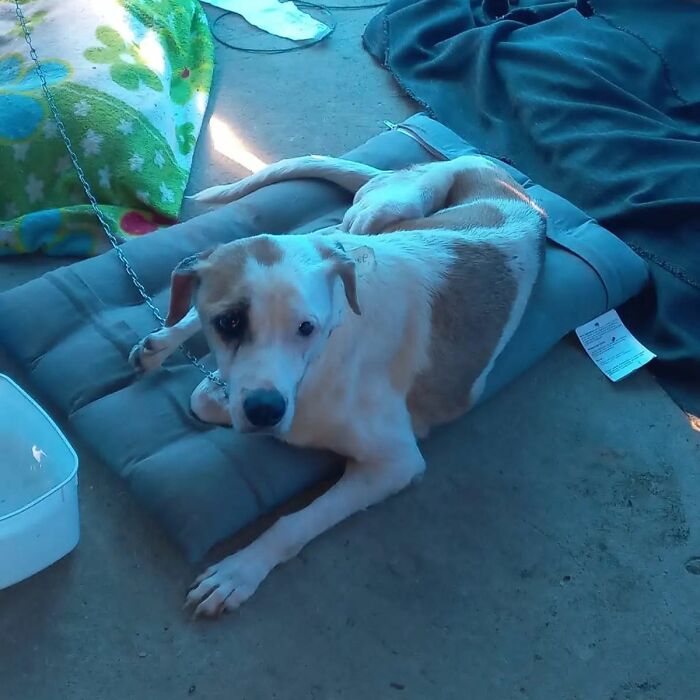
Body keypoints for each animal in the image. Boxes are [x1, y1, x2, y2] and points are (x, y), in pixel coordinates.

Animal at [130, 153, 548, 616]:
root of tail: (495, 171)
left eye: (305, 328)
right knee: (328, 235)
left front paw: (240, 570)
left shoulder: (395, 464)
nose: (265, 411)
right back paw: (162, 341)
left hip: (383, 213)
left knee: (335, 241)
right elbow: (205, 392)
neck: (331, 339)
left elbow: (294, 523)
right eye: (230, 323)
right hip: (375, 215)